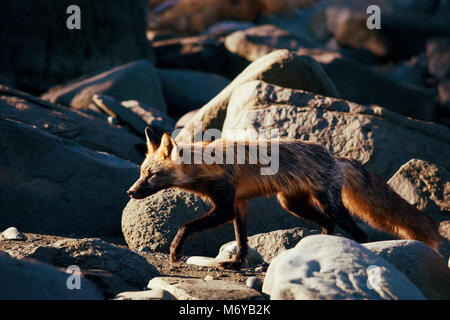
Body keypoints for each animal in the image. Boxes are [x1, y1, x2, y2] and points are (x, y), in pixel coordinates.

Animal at [126, 129, 440, 268]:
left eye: (151, 175)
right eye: (141, 173)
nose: (130, 192)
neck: (206, 165)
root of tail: (334, 156)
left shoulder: (225, 205)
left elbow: (185, 226)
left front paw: (175, 251)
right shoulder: (239, 204)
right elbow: (242, 240)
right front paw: (236, 263)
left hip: (330, 206)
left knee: (359, 234)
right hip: (293, 205)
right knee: (328, 225)